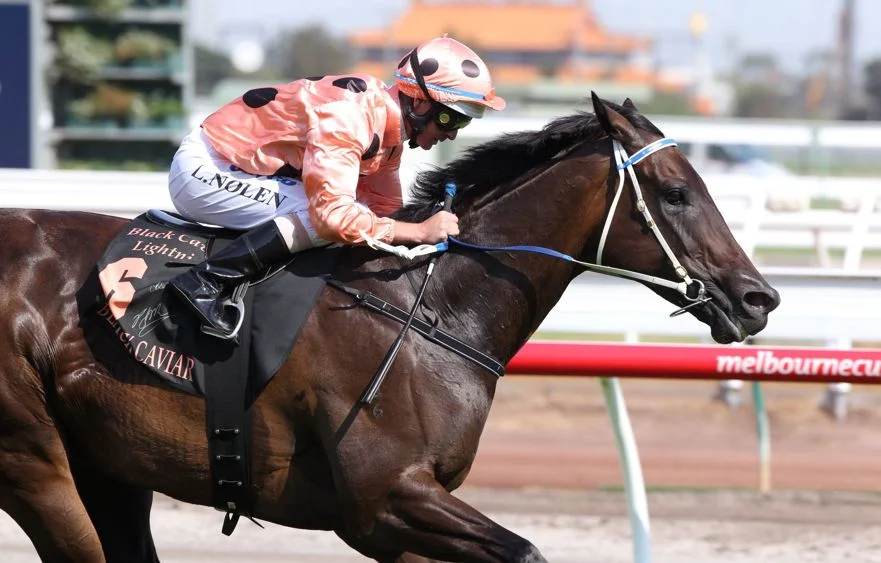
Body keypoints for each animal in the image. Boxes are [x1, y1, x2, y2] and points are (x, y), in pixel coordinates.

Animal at [0, 94, 776, 560]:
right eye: (676, 193)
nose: (757, 298)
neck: (428, 307)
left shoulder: (397, 519)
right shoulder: (385, 497)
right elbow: (524, 548)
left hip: (109, 467)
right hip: (36, 463)